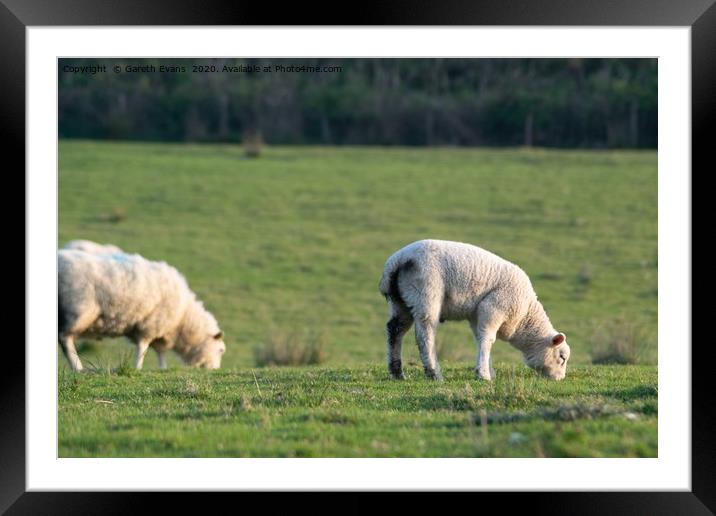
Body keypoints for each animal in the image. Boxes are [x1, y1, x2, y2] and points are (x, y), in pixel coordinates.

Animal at [57, 249, 225, 370]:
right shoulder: (150, 325)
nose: (215, 370)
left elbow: (160, 352)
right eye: (221, 350)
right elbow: (143, 349)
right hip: (76, 310)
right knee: (65, 339)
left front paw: (162, 368)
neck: (184, 317)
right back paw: (77, 367)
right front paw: (138, 367)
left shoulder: (158, 331)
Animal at [380, 240, 572, 380]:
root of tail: (398, 260)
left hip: (400, 301)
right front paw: (484, 375)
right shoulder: (494, 307)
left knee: (395, 330)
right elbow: (488, 339)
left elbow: (480, 338)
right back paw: (434, 373)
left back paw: (397, 372)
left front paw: (488, 370)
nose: (560, 379)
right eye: (562, 357)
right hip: (426, 293)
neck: (524, 319)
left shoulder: (476, 315)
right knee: (425, 335)